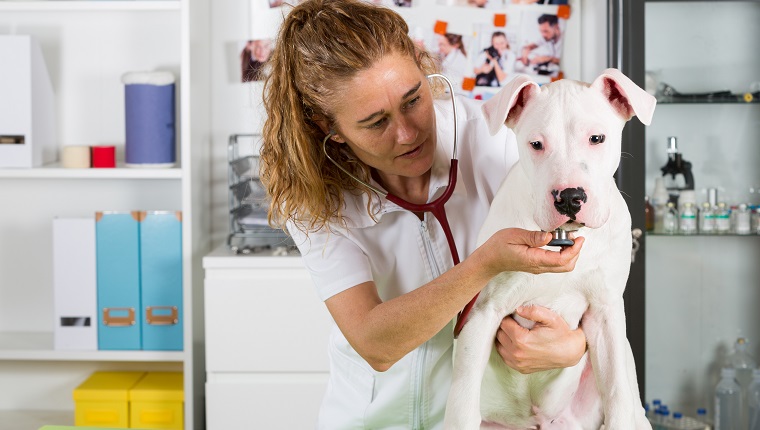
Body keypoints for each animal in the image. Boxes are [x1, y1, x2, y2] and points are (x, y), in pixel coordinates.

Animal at [448, 69, 656, 428]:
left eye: (597, 138)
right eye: (536, 144)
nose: (570, 197)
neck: (562, 239)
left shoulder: (606, 313)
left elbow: (618, 393)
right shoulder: (481, 312)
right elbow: (462, 405)